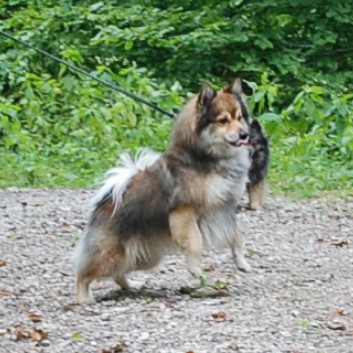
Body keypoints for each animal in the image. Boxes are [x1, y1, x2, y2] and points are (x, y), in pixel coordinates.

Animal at [73, 80, 252, 302]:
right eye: (223, 121)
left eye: (239, 117)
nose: (244, 134)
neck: (206, 158)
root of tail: (107, 200)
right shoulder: (183, 214)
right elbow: (196, 243)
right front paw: (197, 272)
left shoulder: (221, 210)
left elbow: (237, 237)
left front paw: (242, 262)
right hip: (112, 252)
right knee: (84, 274)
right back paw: (84, 299)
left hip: (146, 256)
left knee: (118, 273)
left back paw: (132, 286)